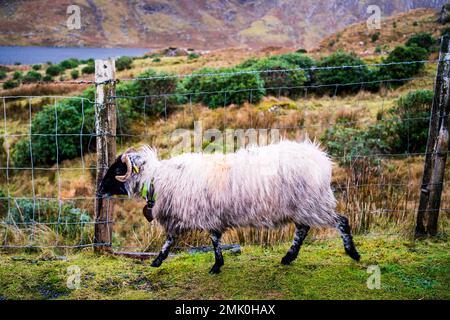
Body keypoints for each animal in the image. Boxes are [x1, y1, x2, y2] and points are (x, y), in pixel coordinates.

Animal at [97, 141, 358, 274]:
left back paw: (352, 253)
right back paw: (288, 257)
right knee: (303, 229)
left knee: (340, 221)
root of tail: (321, 160)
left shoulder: (206, 215)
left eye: (117, 169)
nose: (99, 190)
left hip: (312, 202)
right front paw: (158, 260)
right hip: (302, 205)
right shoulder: (182, 215)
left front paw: (216, 265)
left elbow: (213, 239)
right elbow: (171, 239)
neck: (157, 179)